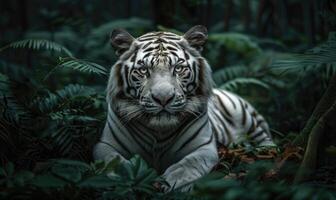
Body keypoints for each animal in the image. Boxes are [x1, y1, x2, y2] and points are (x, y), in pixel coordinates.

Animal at [93, 25, 274, 191]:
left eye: (178, 68)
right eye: (143, 70)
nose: (163, 98)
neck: (158, 132)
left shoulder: (204, 147)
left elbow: (189, 163)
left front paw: (172, 182)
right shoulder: (104, 145)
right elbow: (114, 161)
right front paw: (129, 176)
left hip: (244, 116)